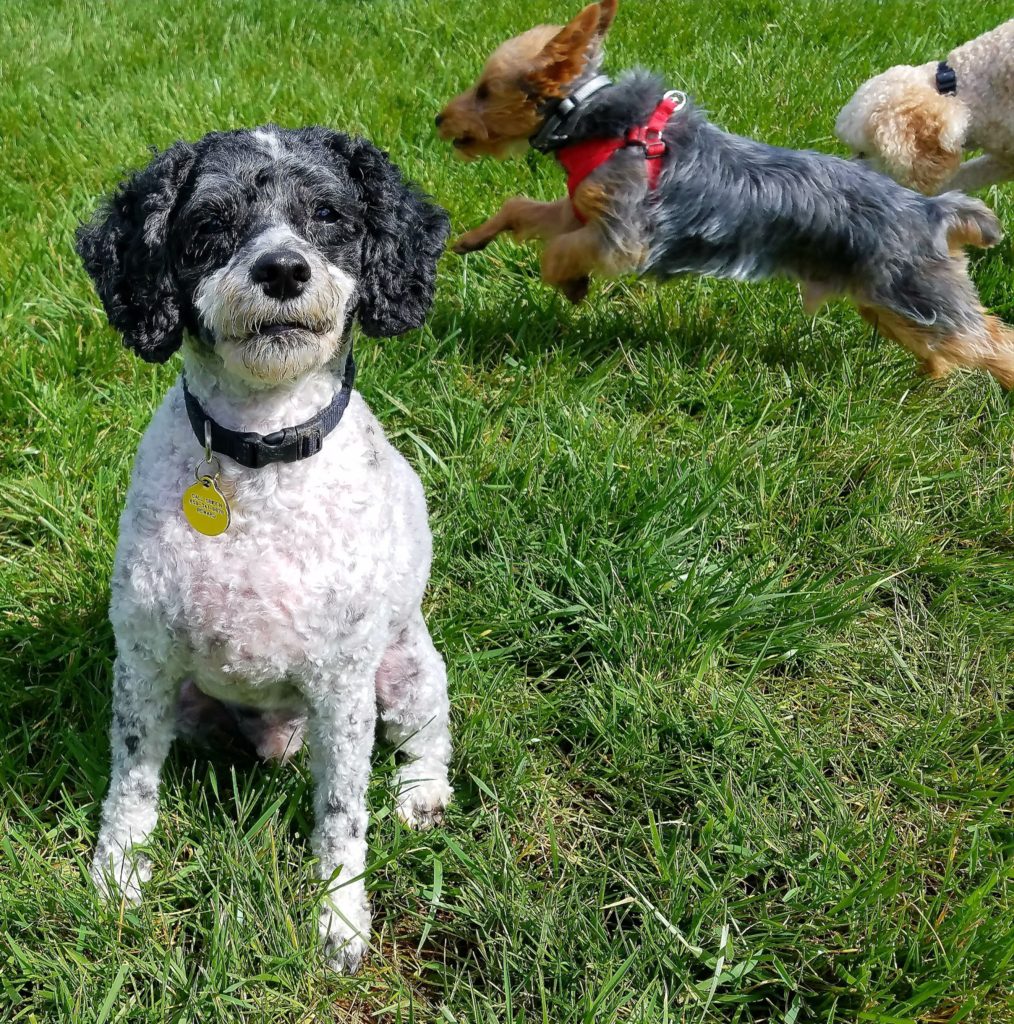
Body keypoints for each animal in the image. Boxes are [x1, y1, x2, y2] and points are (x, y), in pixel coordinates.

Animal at [79, 123, 456, 970]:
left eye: (329, 215)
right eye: (210, 224)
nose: (282, 268)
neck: (260, 457)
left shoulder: (344, 688)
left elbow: (343, 814)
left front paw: (341, 920)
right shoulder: (143, 663)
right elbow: (131, 785)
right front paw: (118, 877)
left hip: (408, 671)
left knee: (430, 740)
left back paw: (422, 797)